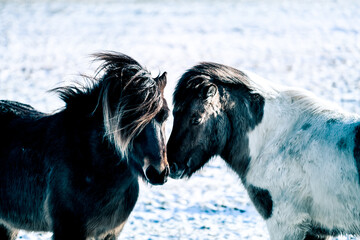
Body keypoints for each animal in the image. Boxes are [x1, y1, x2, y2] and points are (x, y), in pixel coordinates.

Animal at [167, 62, 360, 240]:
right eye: (174, 115)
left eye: (196, 119)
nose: (171, 166)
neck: (274, 138)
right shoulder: (318, 230)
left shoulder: (286, 224)